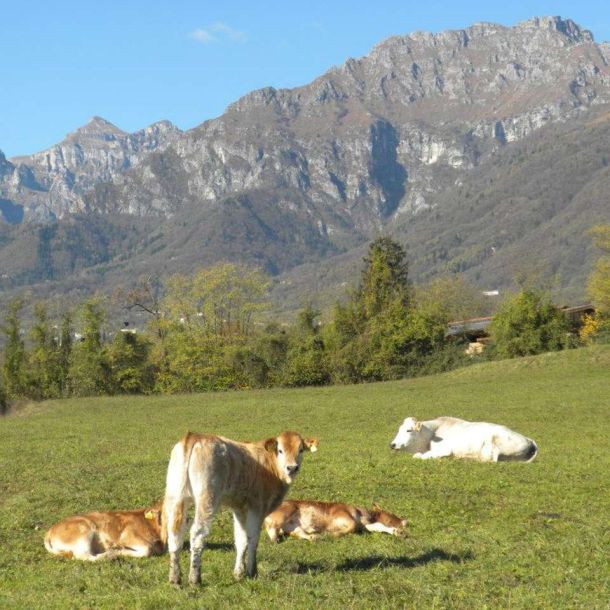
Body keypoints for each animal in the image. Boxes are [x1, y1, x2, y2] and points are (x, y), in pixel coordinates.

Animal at [162, 428, 318, 584]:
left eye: (301, 450)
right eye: (280, 450)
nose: (292, 468)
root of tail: (195, 436)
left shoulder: (239, 508)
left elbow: (241, 539)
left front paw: (238, 573)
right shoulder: (257, 507)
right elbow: (253, 538)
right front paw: (252, 572)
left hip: (175, 495)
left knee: (174, 533)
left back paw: (175, 578)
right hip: (206, 499)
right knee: (197, 534)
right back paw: (195, 578)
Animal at [264, 496, 406, 540]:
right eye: (392, 514)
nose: (405, 521)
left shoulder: (364, 525)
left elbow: (378, 526)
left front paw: (397, 532)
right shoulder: (342, 516)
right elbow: (351, 526)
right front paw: (332, 533)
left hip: (293, 526)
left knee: (299, 533)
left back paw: (314, 536)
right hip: (285, 512)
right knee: (271, 527)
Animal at [390, 416, 536, 464]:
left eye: (409, 430)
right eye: (399, 429)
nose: (392, 444)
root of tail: (529, 440)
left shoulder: (444, 449)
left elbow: (419, 456)